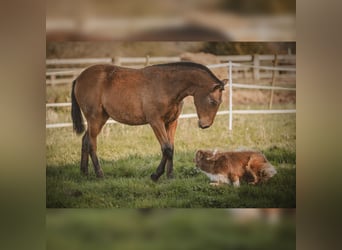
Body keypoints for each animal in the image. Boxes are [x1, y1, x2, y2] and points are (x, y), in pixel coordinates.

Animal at [71, 61, 226, 181]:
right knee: (92, 143)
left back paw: (84, 172)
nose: (205, 125)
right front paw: (156, 175)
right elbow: (167, 148)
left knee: (85, 140)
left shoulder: (171, 122)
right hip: (95, 118)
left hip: (100, 119)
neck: (166, 85)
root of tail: (79, 78)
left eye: (219, 102)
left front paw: (170, 176)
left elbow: (171, 148)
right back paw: (99, 174)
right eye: (212, 101)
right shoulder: (155, 122)